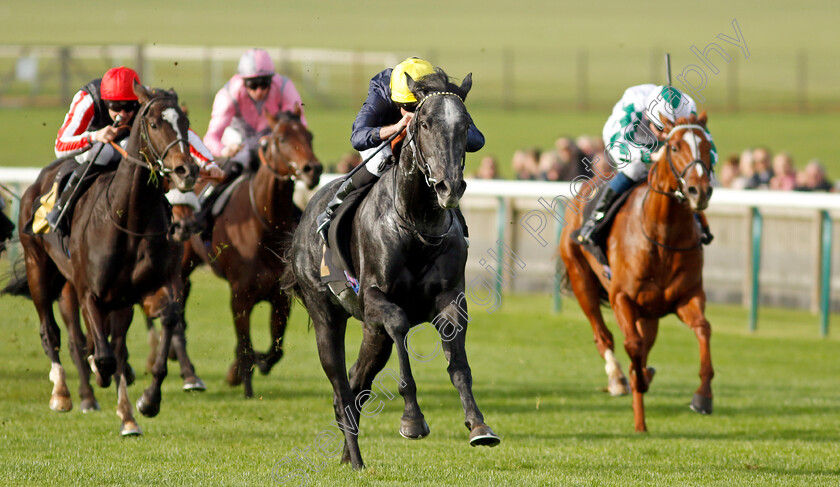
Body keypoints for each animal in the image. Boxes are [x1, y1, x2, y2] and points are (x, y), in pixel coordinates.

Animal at [17, 83, 201, 434]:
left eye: (185, 123)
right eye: (154, 124)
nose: (187, 170)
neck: (129, 219)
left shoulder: (150, 288)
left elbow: (167, 322)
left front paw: (147, 402)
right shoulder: (89, 292)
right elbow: (102, 355)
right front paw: (98, 374)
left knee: (111, 344)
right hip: (39, 271)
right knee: (52, 332)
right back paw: (62, 393)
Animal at [182, 108, 324, 398]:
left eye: (309, 135)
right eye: (281, 139)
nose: (312, 169)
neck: (265, 226)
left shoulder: (281, 297)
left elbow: (274, 351)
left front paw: (242, 369)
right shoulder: (240, 297)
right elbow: (245, 345)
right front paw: (242, 381)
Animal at [286, 68, 502, 468]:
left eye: (466, 125)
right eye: (425, 122)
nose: (450, 186)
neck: (417, 226)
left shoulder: (451, 299)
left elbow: (459, 365)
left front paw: (479, 425)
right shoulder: (375, 300)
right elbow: (400, 325)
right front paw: (412, 419)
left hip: (373, 334)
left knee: (357, 382)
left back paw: (348, 456)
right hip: (326, 315)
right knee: (342, 389)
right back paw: (355, 459)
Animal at [560, 113, 712, 430]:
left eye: (706, 146)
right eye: (675, 147)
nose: (700, 191)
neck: (662, 235)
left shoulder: (688, 296)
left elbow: (703, 329)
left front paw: (703, 396)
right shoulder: (622, 298)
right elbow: (632, 344)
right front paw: (635, 379)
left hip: (649, 313)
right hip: (581, 279)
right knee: (603, 335)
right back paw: (619, 380)